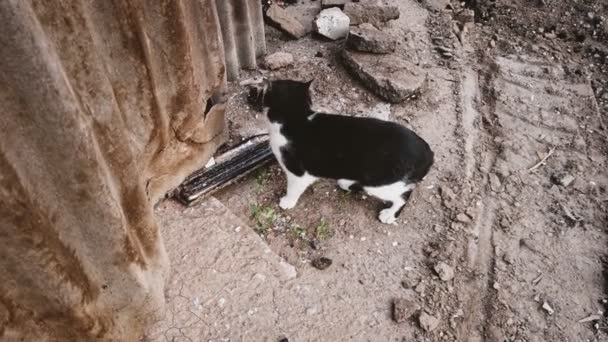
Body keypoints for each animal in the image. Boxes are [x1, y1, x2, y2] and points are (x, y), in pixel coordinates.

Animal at [249, 79, 434, 224]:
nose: (257, 89)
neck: (296, 118)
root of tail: (428, 153)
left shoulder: (299, 172)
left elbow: (294, 188)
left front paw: (287, 201)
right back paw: (347, 183)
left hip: (381, 182)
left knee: (403, 195)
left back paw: (389, 214)